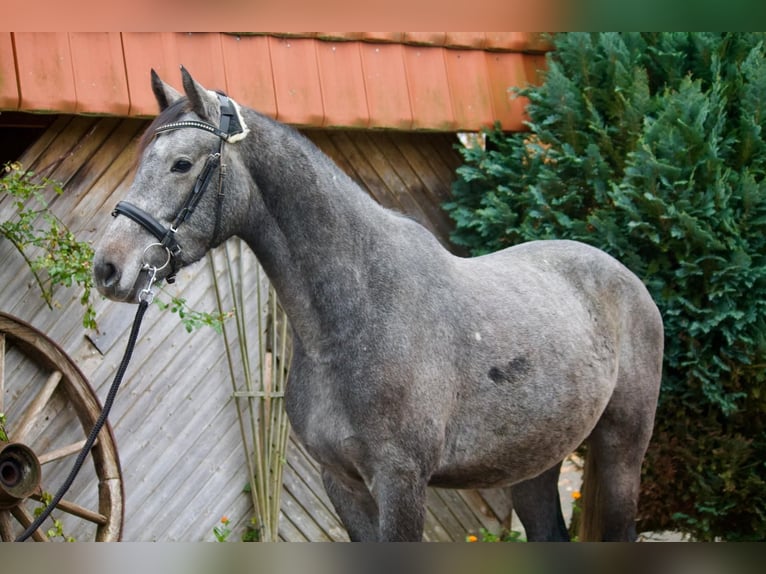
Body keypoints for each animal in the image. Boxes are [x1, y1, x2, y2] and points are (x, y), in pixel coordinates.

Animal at [93, 67, 663, 542]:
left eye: (181, 164)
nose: (108, 268)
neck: (359, 312)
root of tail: (625, 279)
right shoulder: (342, 482)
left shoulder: (400, 483)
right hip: (531, 465)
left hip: (622, 451)